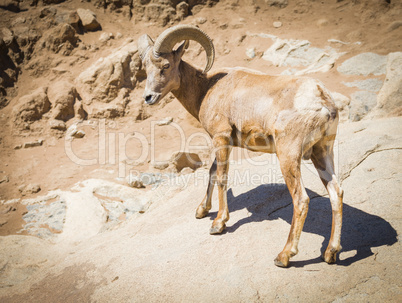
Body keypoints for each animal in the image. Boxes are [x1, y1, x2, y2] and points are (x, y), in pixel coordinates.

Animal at [137, 26, 342, 268]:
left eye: (166, 66)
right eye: (146, 67)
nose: (148, 97)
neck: (205, 89)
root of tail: (323, 102)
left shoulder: (221, 138)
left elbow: (221, 177)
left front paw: (218, 224)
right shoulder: (224, 142)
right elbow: (212, 172)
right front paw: (201, 210)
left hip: (288, 156)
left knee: (301, 200)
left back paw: (283, 256)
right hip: (322, 153)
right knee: (336, 192)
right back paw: (330, 253)